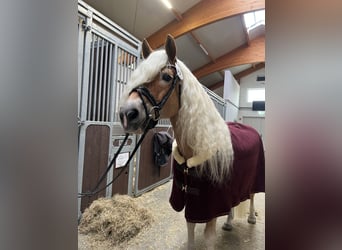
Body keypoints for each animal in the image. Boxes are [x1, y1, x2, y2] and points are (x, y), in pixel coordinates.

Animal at [119, 34, 266, 249]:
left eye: (166, 77)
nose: (127, 114)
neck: (197, 148)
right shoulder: (191, 200)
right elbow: (190, 231)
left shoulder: (210, 206)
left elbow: (209, 237)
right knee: (231, 206)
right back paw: (229, 222)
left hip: (252, 180)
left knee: (253, 195)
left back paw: (252, 218)